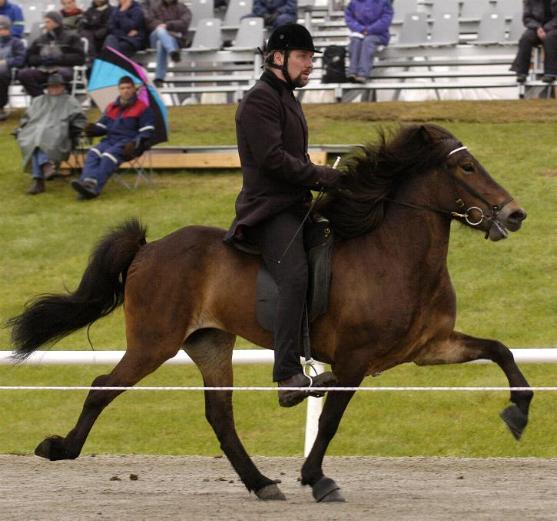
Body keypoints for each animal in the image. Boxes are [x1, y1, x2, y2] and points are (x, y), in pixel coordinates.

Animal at [8, 124, 528, 502]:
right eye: (466, 166)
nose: (515, 214)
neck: (395, 255)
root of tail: (149, 247)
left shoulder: (429, 348)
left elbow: (500, 351)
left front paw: (518, 413)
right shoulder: (354, 360)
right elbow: (331, 419)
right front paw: (317, 478)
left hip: (210, 343)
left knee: (219, 415)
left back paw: (260, 484)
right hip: (154, 343)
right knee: (103, 387)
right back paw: (60, 448)